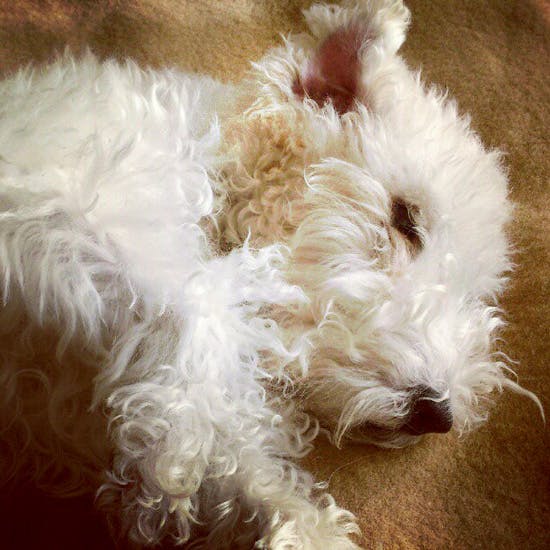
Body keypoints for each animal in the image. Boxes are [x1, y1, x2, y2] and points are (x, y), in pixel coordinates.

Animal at [0, 1, 540, 548]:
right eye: (406, 220)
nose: (438, 415)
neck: (212, 168)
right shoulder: (79, 215)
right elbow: (199, 333)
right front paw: (179, 462)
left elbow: (240, 465)